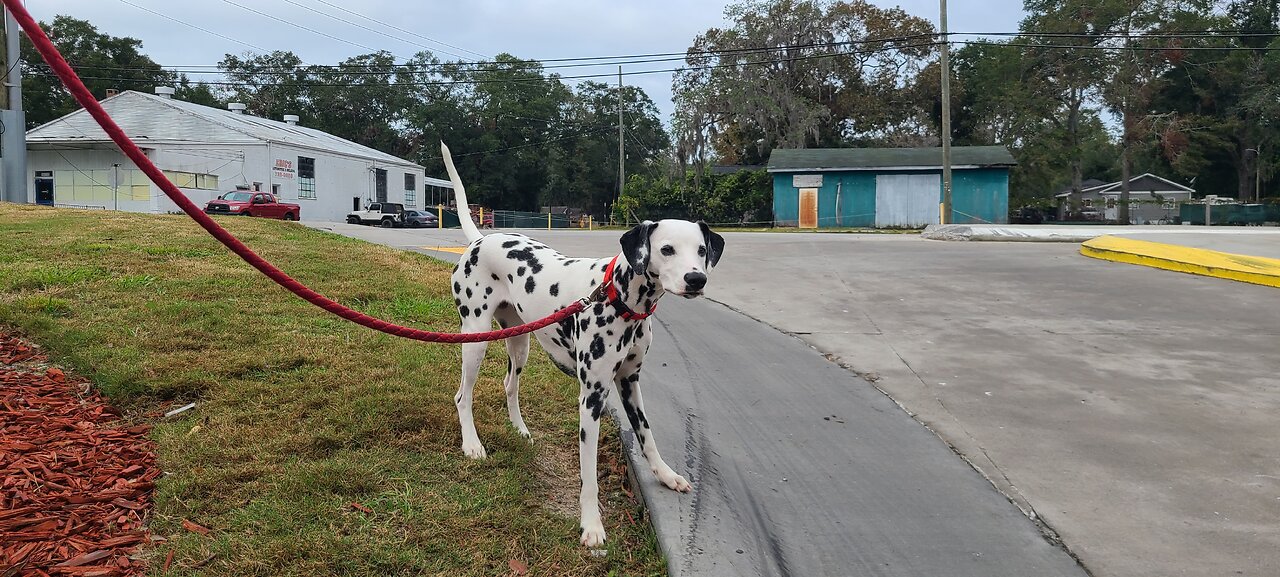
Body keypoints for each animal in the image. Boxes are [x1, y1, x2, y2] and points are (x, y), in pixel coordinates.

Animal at [440, 141, 721, 547]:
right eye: (667, 249)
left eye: (700, 250)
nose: (696, 279)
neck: (619, 297)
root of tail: (480, 238)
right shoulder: (592, 397)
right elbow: (588, 475)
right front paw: (592, 525)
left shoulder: (630, 383)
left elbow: (647, 436)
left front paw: (666, 474)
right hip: (474, 338)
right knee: (463, 395)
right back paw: (472, 445)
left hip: (519, 342)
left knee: (509, 384)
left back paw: (520, 430)